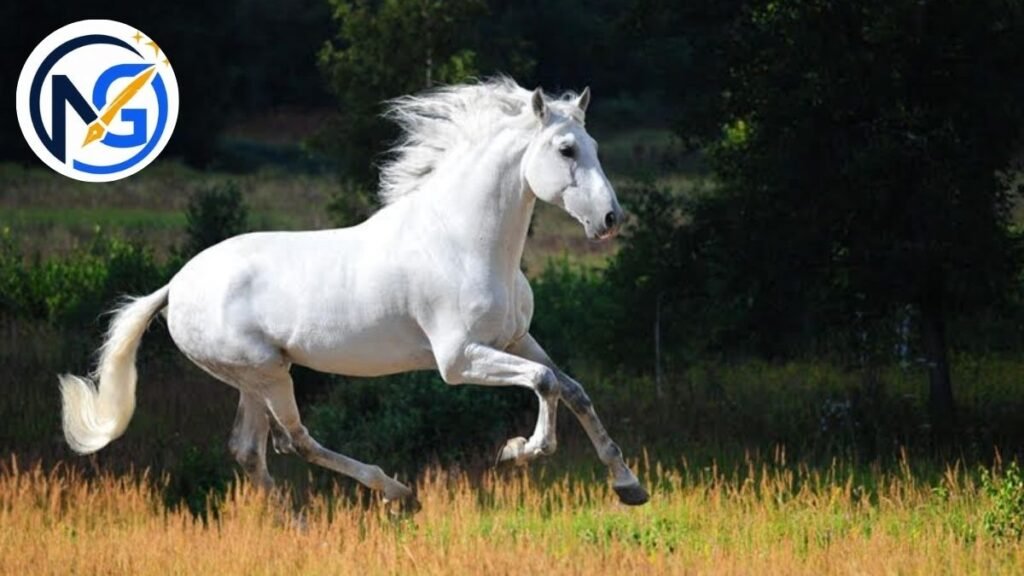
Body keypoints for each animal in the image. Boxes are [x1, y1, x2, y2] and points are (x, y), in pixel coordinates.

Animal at [59, 78, 649, 506]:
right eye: (566, 149)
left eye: (594, 146)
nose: (610, 219)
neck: (464, 240)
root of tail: (176, 286)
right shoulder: (458, 360)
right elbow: (545, 383)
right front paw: (520, 451)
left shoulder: (514, 339)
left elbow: (572, 388)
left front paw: (629, 486)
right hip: (266, 373)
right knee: (293, 440)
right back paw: (397, 494)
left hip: (253, 377)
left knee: (250, 451)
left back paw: (298, 526)